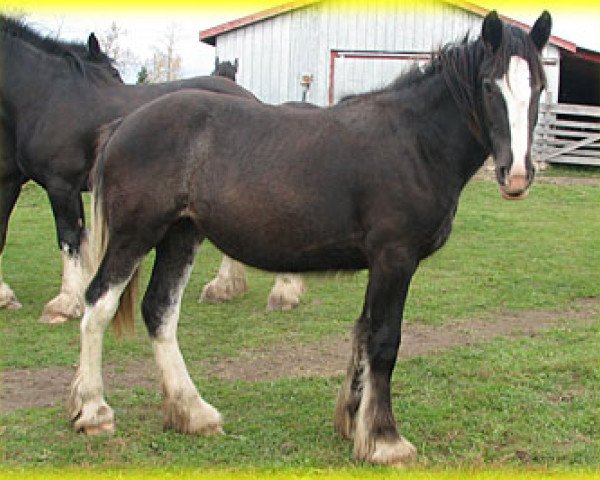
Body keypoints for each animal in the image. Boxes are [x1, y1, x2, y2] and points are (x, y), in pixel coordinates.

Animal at [0, 15, 255, 322]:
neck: (45, 96)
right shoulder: (10, 182)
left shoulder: (61, 183)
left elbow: (68, 238)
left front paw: (64, 304)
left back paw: (223, 286)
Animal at [68, 11, 552, 466]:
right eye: (489, 86)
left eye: (541, 86)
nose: (517, 175)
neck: (414, 143)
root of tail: (123, 124)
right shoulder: (395, 258)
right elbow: (384, 340)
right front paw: (385, 440)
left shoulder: (380, 263)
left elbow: (363, 332)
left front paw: (353, 421)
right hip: (135, 235)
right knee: (98, 305)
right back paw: (94, 412)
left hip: (180, 235)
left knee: (160, 311)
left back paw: (193, 413)